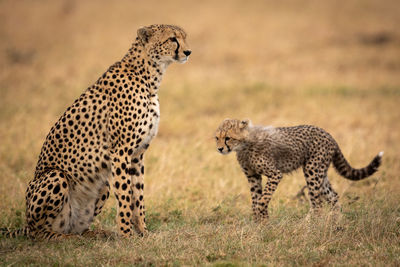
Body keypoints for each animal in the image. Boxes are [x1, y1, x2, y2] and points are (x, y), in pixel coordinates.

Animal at [3, 23, 191, 241]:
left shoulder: (138, 154)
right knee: (39, 233)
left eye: (184, 37)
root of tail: (25, 223)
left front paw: (143, 232)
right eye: (172, 39)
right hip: (55, 176)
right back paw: (65, 239)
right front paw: (126, 236)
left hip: (102, 186)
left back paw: (94, 233)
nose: (188, 52)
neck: (149, 76)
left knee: (75, 227)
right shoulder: (120, 151)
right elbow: (125, 196)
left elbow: (138, 196)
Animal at [214, 119, 382, 222]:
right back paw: (336, 221)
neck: (243, 146)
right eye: (217, 138)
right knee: (332, 196)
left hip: (312, 170)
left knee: (317, 203)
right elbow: (256, 198)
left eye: (228, 138)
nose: (220, 149)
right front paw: (260, 223)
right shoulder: (253, 177)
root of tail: (327, 134)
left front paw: (261, 217)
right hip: (320, 173)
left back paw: (308, 224)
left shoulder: (275, 174)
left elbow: (263, 198)